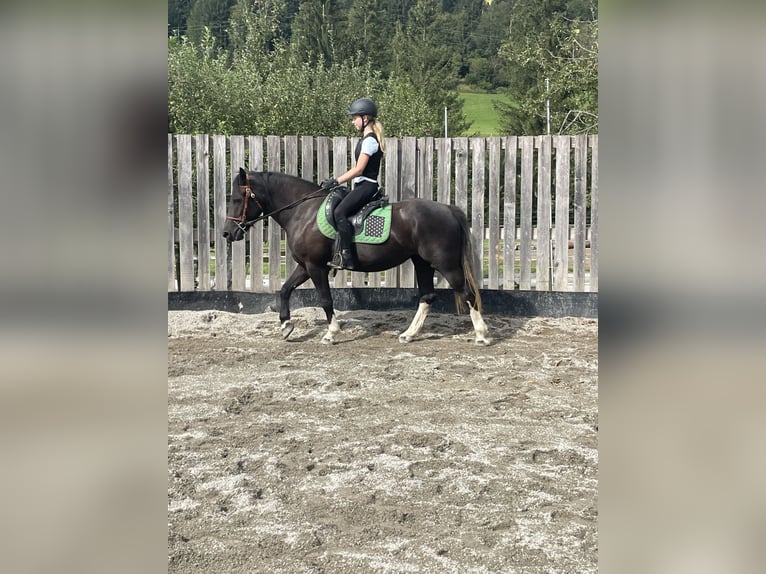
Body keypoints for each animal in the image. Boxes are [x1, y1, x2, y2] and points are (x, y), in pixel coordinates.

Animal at [220, 169, 492, 344]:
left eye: (236, 198)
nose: (227, 233)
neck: (304, 212)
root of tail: (448, 209)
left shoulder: (316, 267)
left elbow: (325, 299)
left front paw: (331, 333)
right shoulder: (305, 266)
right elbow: (285, 289)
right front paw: (286, 326)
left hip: (445, 263)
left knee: (467, 293)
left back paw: (481, 335)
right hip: (422, 262)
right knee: (427, 296)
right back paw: (409, 334)